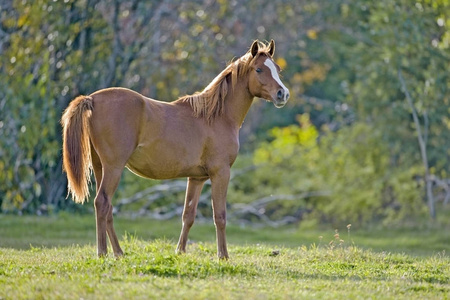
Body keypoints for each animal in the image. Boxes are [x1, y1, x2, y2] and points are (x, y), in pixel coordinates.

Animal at [61, 40, 290, 260]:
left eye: (277, 69)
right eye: (259, 69)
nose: (283, 94)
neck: (216, 116)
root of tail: (92, 99)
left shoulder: (196, 178)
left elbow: (188, 215)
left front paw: (180, 251)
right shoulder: (221, 173)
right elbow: (220, 216)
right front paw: (223, 256)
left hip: (101, 167)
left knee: (107, 208)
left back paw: (118, 252)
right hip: (114, 168)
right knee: (102, 203)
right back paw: (102, 253)